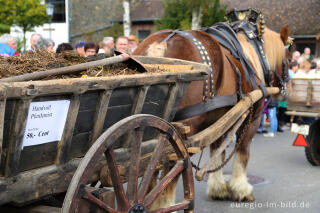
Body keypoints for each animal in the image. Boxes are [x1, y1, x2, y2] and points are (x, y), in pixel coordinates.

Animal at [132, 22, 290, 208]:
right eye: (289, 58)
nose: (285, 90)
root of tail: (161, 44)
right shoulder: (252, 119)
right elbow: (242, 153)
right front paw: (242, 189)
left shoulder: (219, 122)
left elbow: (217, 153)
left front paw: (218, 188)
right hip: (181, 131)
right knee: (170, 166)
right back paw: (163, 204)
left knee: (148, 166)